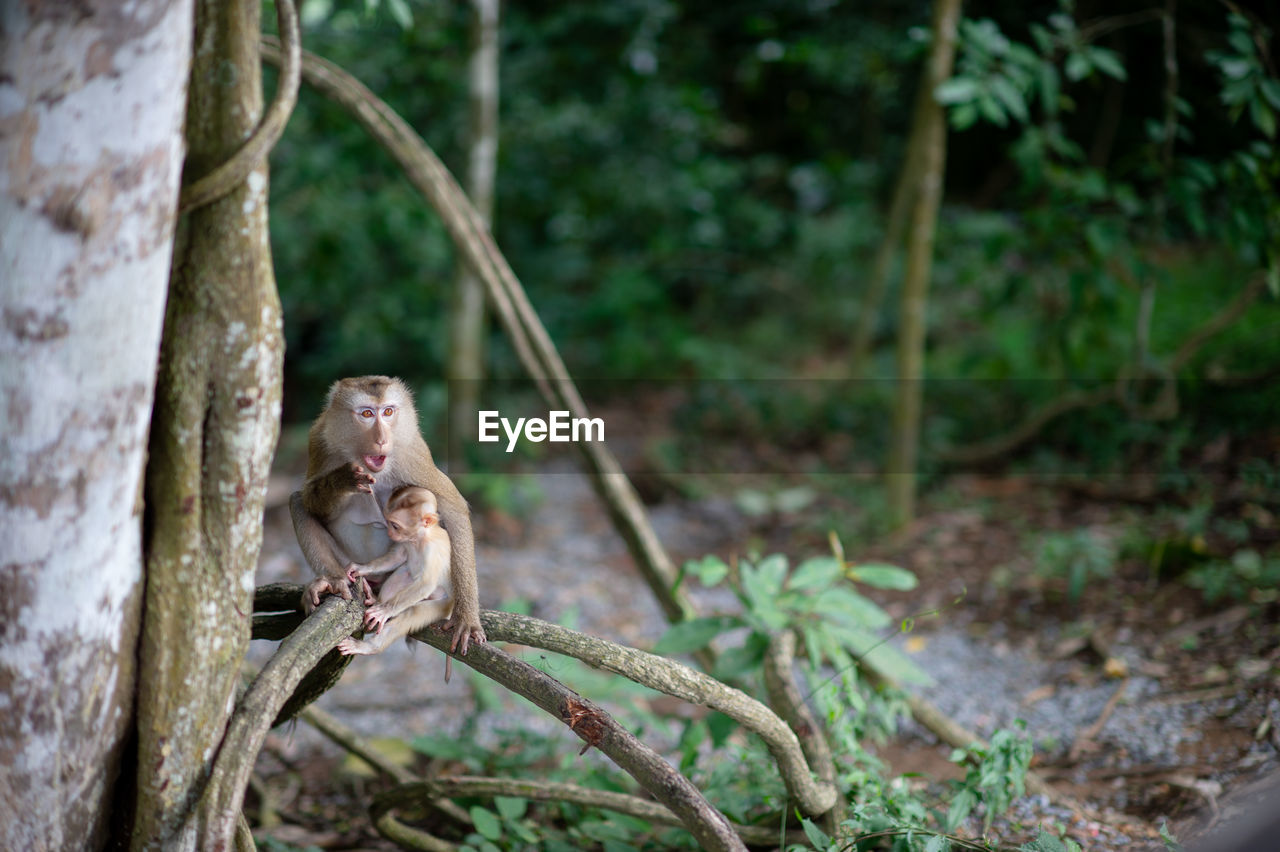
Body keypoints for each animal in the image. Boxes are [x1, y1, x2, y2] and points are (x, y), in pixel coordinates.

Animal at [290, 373, 483, 649]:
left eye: (388, 411)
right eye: (367, 413)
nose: (382, 439)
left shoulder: (413, 451)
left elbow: (452, 507)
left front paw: (466, 618)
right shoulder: (319, 439)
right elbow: (309, 500)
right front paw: (341, 480)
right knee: (297, 502)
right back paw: (331, 581)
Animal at [337, 481, 458, 675]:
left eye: (394, 525)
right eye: (389, 523)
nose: (389, 532)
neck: (419, 539)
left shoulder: (431, 550)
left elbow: (426, 584)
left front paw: (385, 611)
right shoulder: (406, 541)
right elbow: (397, 558)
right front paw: (360, 569)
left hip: (443, 604)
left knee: (413, 611)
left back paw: (370, 646)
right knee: (404, 572)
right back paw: (375, 600)